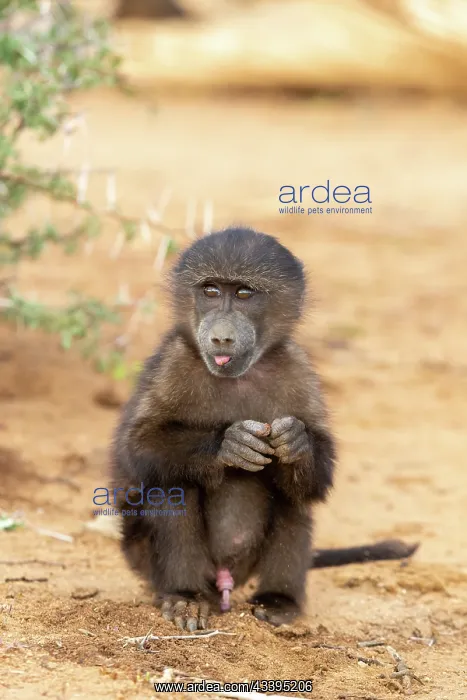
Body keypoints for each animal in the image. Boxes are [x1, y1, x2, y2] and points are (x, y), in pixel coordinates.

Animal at [111, 227, 418, 631]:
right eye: (211, 291)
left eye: (244, 294)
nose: (221, 338)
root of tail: (226, 579)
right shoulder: (172, 361)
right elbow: (138, 446)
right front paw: (230, 444)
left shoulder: (296, 367)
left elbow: (317, 474)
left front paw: (296, 441)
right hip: (143, 556)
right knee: (172, 483)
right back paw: (186, 596)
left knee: (293, 494)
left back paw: (278, 600)